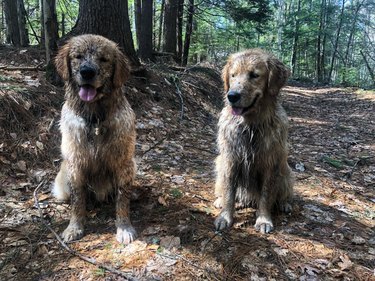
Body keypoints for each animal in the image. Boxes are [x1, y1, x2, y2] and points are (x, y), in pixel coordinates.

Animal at [51, 33, 137, 243]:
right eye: (78, 57)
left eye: (104, 59)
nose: (87, 72)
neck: (95, 118)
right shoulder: (75, 164)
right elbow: (77, 200)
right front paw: (74, 227)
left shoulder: (124, 163)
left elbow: (122, 200)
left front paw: (124, 227)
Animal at [214, 49, 294, 233]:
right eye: (233, 75)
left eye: (254, 75)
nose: (232, 96)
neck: (250, 125)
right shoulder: (230, 160)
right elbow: (229, 193)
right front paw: (225, 216)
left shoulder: (270, 163)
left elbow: (266, 195)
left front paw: (264, 220)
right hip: (219, 164)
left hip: (286, 172)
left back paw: (285, 204)